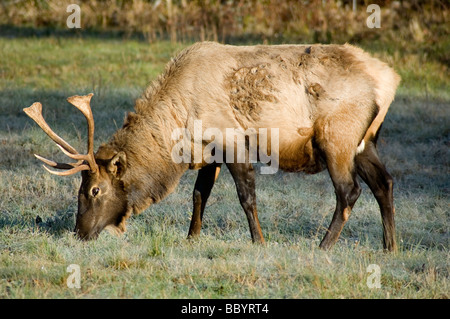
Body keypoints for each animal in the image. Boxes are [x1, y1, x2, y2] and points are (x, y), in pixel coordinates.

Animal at [23, 42, 400, 251]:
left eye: (95, 190)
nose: (79, 233)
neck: (180, 130)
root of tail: (389, 80)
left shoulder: (232, 139)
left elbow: (246, 197)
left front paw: (259, 242)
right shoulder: (209, 152)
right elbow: (198, 194)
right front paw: (191, 238)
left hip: (338, 136)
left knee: (349, 191)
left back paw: (323, 246)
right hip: (364, 142)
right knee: (384, 182)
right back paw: (390, 247)